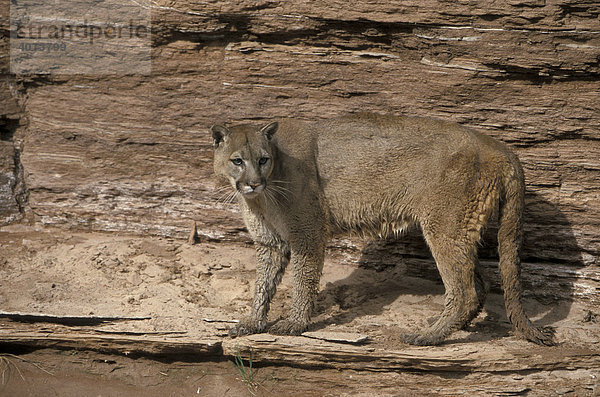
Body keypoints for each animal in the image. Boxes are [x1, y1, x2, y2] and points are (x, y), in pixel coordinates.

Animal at [211, 113, 552, 344]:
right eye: (238, 161)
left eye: (263, 160)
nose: (253, 183)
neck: (263, 197)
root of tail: (500, 146)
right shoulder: (269, 242)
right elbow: (262, 285)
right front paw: (252, 322)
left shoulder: (307, 235)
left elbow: (302, 282)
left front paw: (294, 324)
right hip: (461, 230)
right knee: (481, 283)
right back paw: (449, 326)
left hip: (444, 226)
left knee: (464, 290)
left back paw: (428, 337)